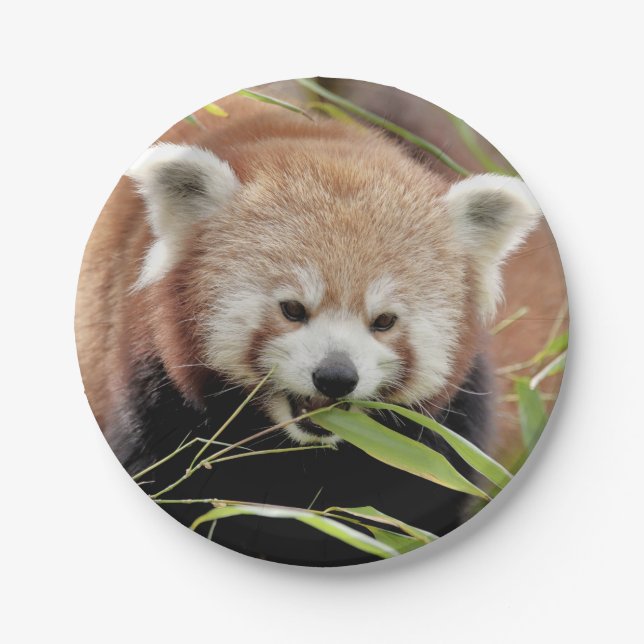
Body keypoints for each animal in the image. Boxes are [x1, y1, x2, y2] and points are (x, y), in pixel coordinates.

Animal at [75, 92, 540, 566]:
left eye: (384, 321)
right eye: (293, 309)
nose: (335, 377)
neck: (303, 456)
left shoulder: (439, 439)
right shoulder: (153, 396)